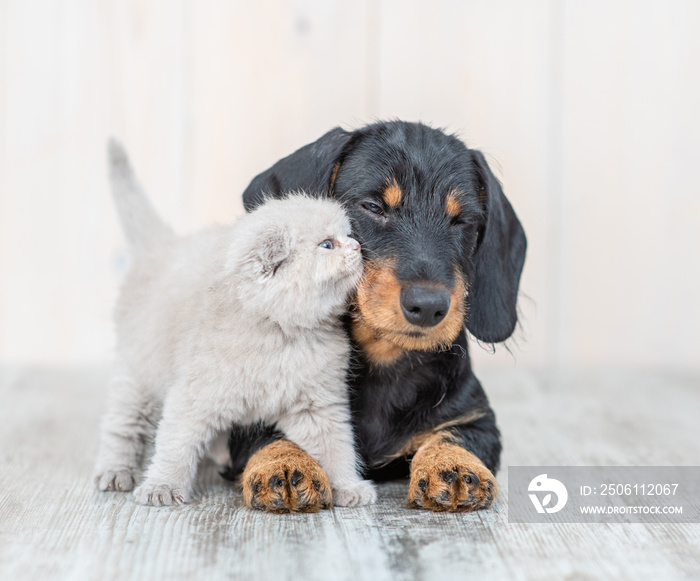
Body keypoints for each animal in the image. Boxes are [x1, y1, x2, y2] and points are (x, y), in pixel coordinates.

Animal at [95, 140, 378, 508]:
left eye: (348, 234)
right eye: (327, 244)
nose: (358, 247)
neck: (281, 335)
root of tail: (162, 246)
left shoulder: (317, 405)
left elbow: (337, 448)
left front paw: (349, 487)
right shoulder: (192, 396)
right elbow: (174, 445)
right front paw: (162, 486)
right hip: (136, 374)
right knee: (122, 426)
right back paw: (116, 471)